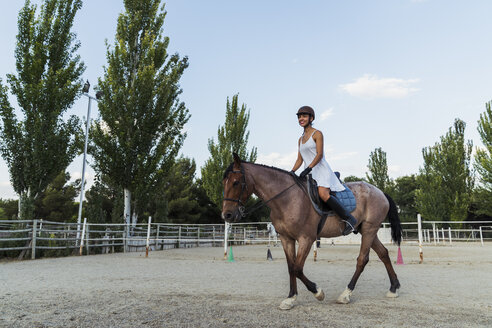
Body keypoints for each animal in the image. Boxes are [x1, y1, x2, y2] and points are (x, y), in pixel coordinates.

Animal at [221, 154, 402, 310]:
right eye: (224, 182)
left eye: (236, 182)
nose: (227, 215)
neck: (286, 198)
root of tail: (380, 192)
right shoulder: (286, 239)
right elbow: (291, 267)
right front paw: (290, 298)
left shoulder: (306, 239)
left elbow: (297, 268)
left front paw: (317, 292)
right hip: (367, 231)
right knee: (383, 253)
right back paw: (393, 288)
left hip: (369, 230)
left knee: (362, 260)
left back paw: (345, 294)